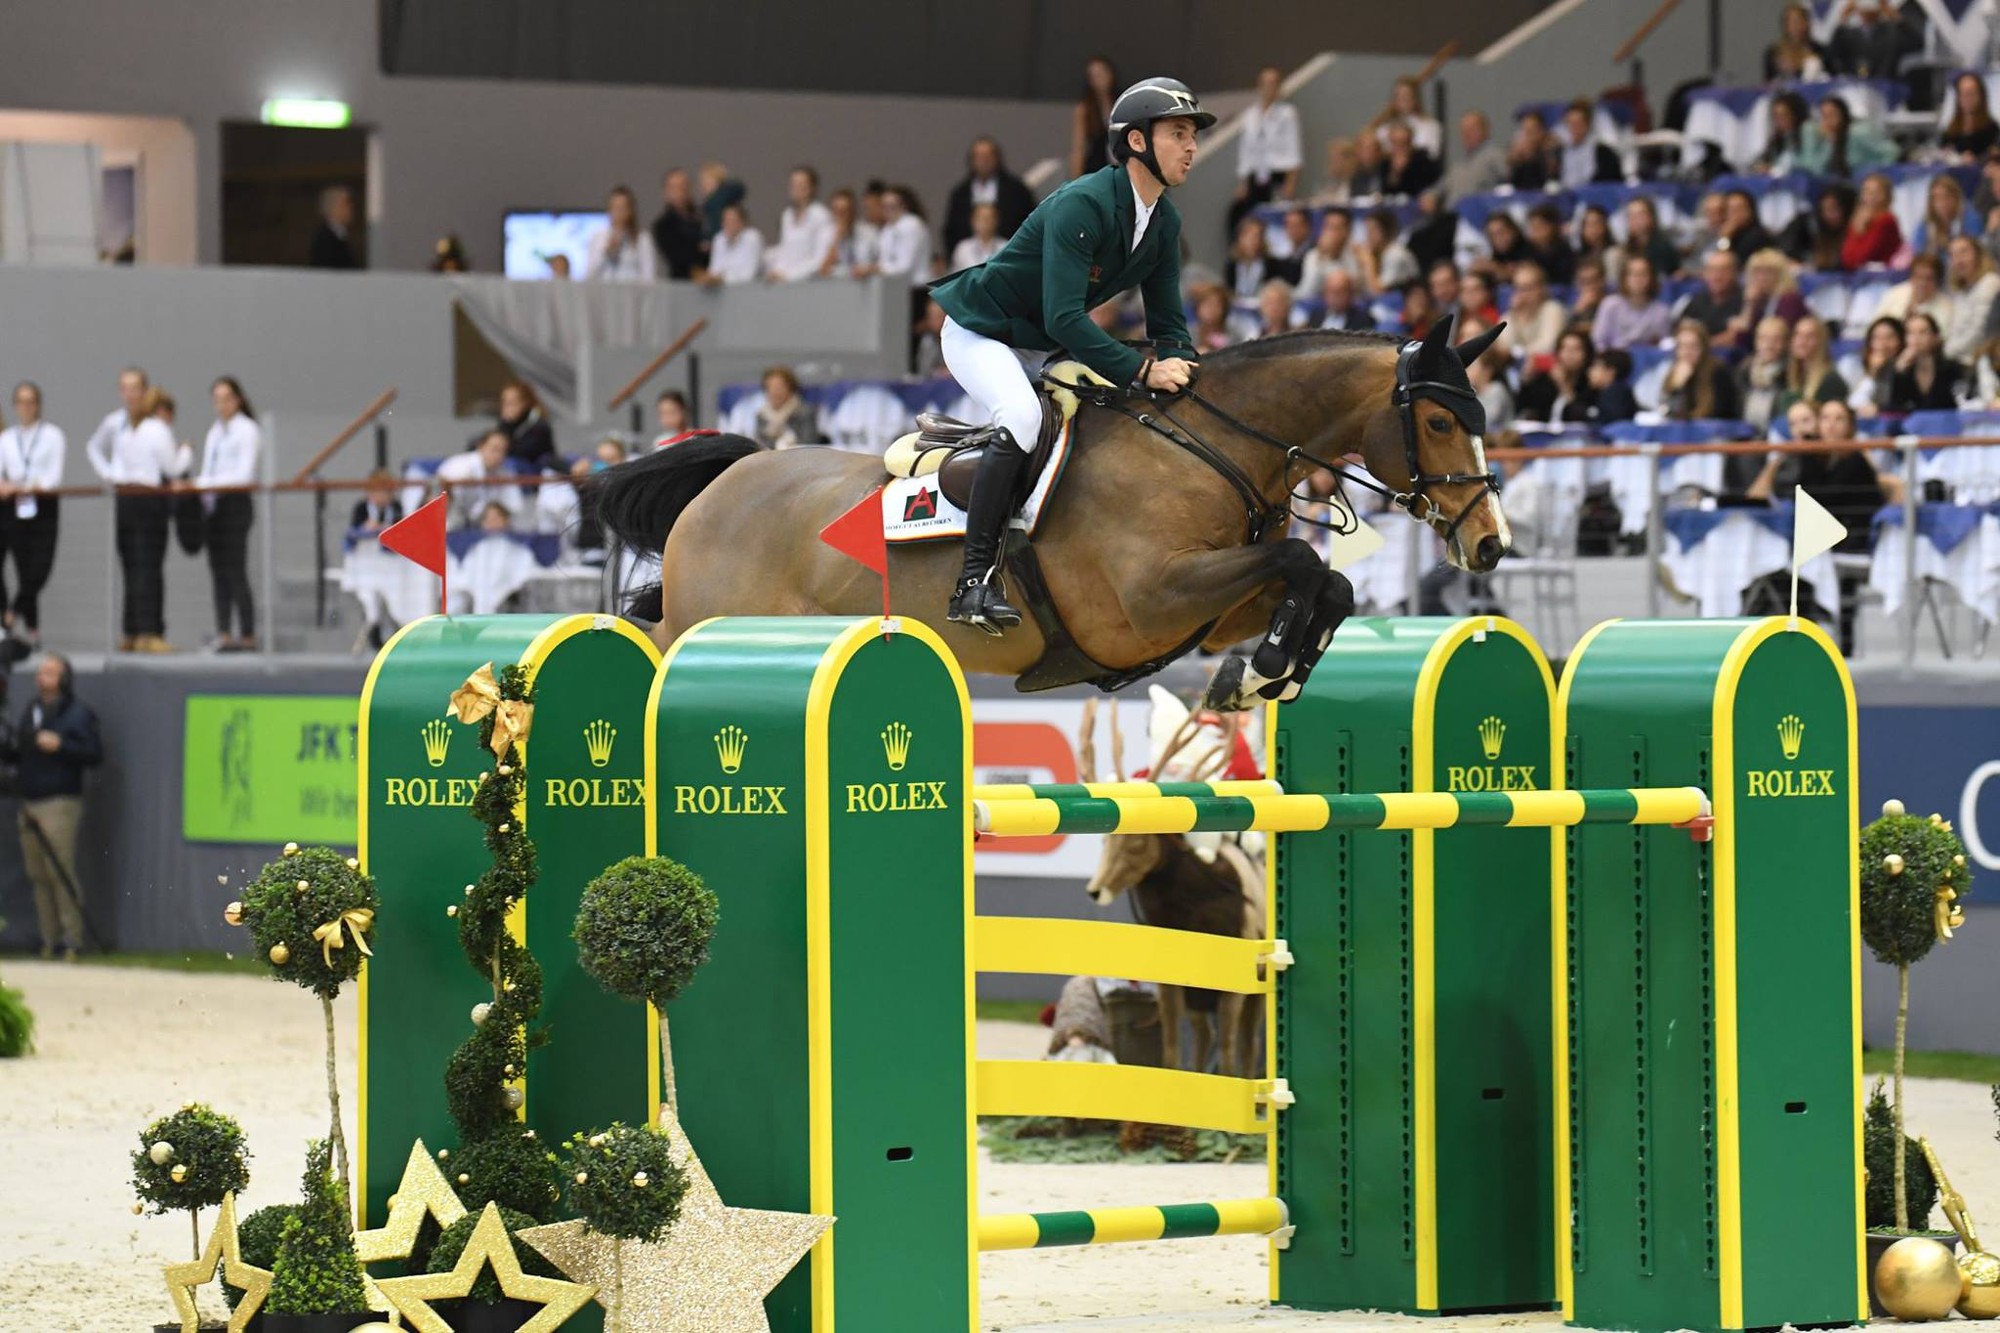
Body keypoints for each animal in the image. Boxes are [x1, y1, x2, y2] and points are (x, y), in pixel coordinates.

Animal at [588, 314, 1504, 704]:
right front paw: (1272, 666)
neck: (1210, 445)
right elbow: (1301, 559)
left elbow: (1324, 581)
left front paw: (1271, 671)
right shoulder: (1148, 599)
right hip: (710, 620)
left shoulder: (1212, 610)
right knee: (655, 645)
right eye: (1439, 421)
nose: (1491, 547)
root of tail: (724, 482)